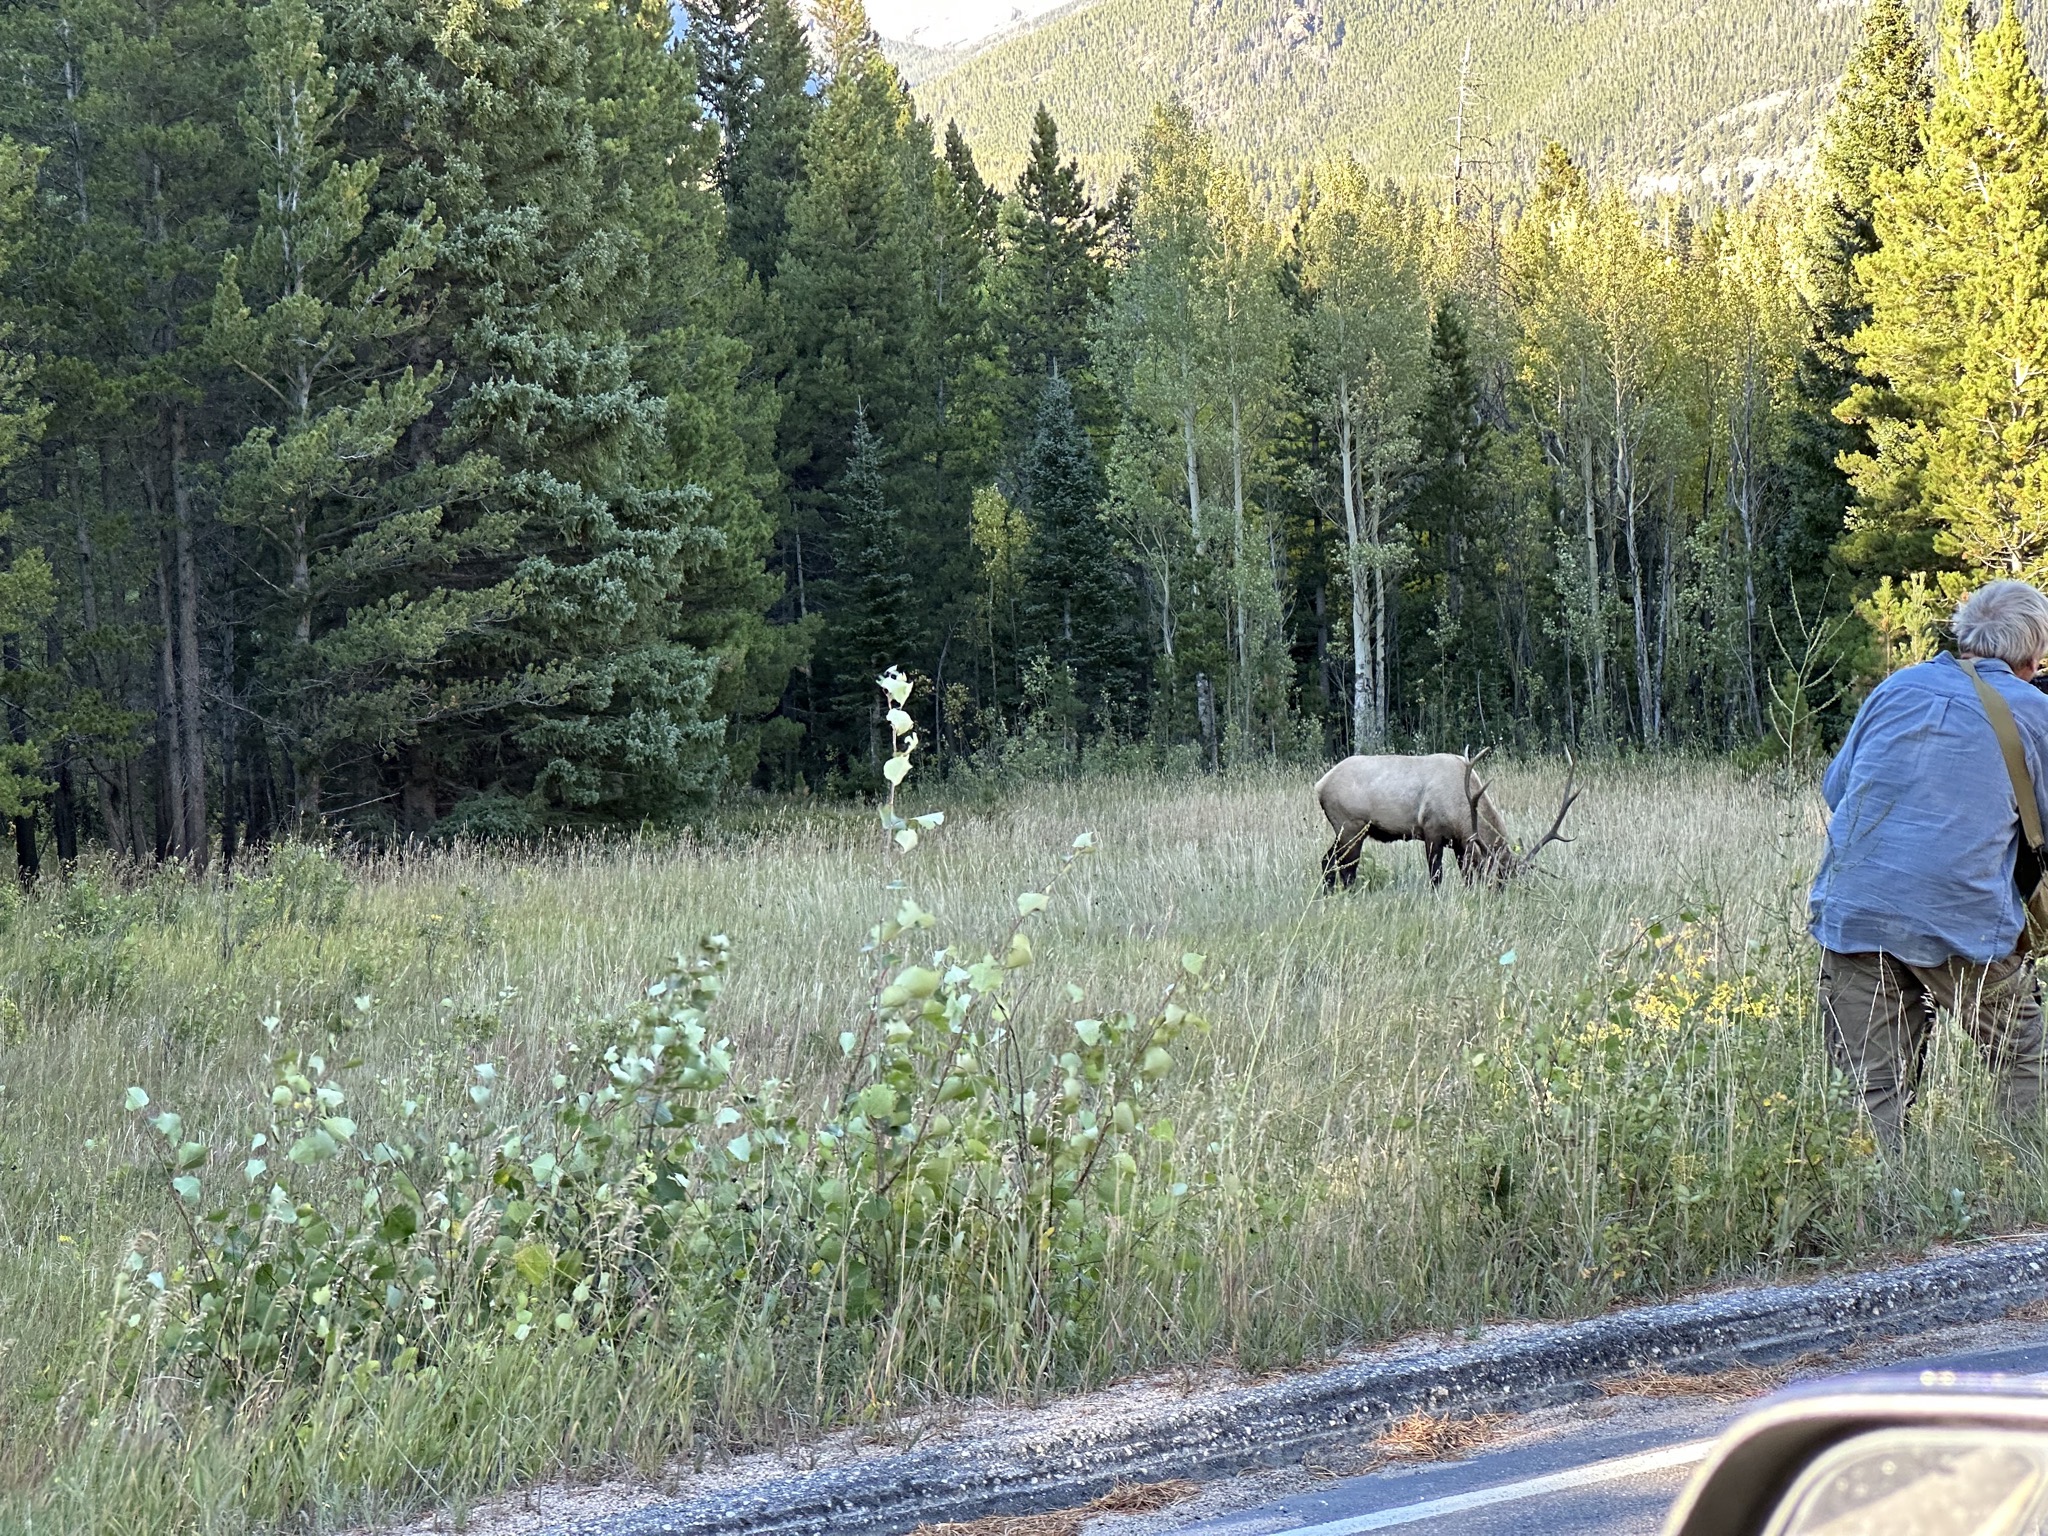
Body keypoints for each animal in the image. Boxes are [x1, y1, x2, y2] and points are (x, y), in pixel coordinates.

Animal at [1315, 748, 1579, 890]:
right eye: (1494, 877)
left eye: (1508, 880)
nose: (1497, 899)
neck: (1462, 812)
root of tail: (1320, 785)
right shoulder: (1431, 830)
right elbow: (1436, 876)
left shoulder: (1461, 843)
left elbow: (1466, 876)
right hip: (1351, 825)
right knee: (1346, 868)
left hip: (1345, 829)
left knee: (1328, 860)